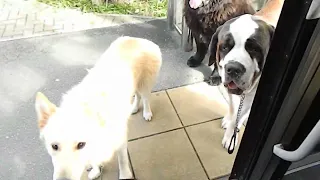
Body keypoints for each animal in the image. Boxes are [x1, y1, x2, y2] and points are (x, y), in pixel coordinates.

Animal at [34, 36, 162, 180]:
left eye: (81, 144)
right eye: (54, 146)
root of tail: (140, 39)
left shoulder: (120, 140)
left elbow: (122, 161)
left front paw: (124, 175)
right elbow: (94, 160)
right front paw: (95, 171)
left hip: (145, 83)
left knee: (145, 97)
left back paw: (147, 113)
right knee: (137, 96)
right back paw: (134, 108)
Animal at [208, 14, 276, 151]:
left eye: (254, 49)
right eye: (225, 47)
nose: (233, 68)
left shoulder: (251, 98)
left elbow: (239, 117)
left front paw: (231, 137)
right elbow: (233, 109)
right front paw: (229, 120)